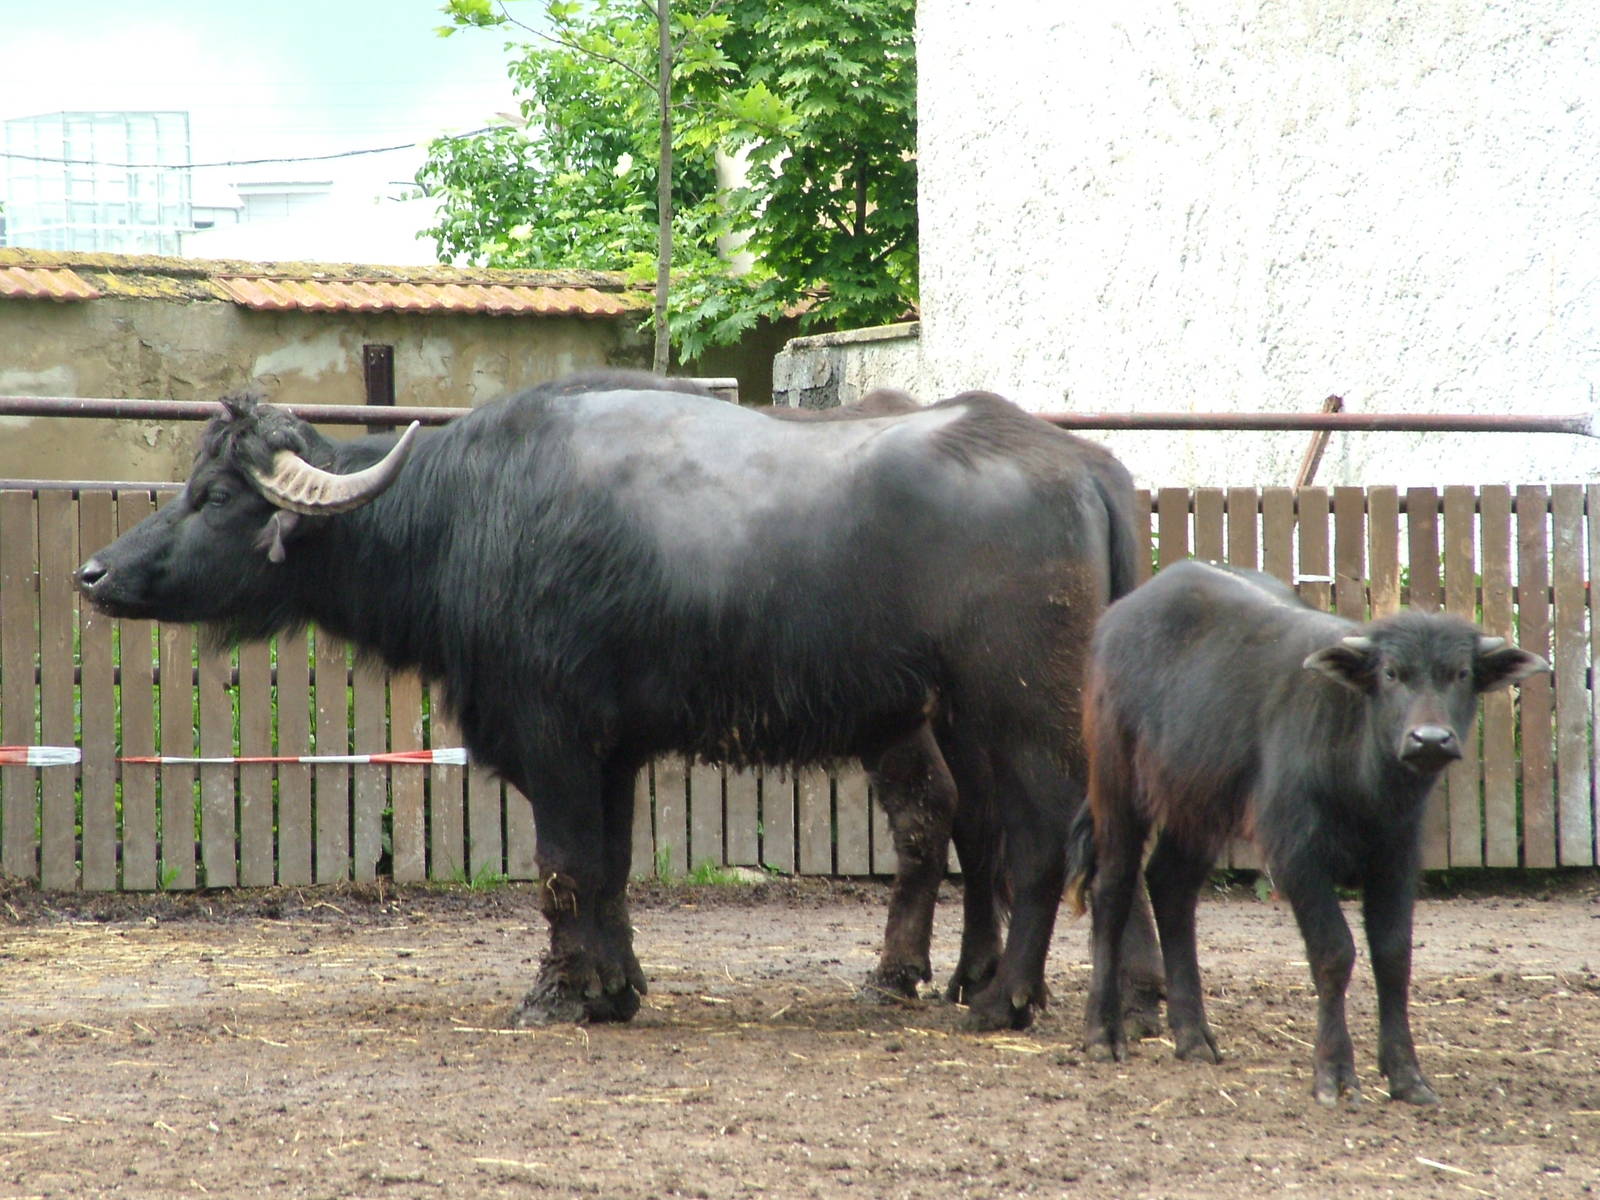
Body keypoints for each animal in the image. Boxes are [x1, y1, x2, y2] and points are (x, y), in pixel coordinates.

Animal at [79, 370, 1153, 1030]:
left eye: (218, 497)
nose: (95, 572)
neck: (470, 517)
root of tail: (1082, 465)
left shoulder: (554, 734)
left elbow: (563, 866)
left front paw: (558, 995)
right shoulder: (616, 750)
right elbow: (612, 869)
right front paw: (618, 987)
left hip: (1017, 712)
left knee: (1038, 840)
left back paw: (1006, 1000)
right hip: (981, 718)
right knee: (1044, 837)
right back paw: (1117, 1001)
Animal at [1066, 559, 1547, 1104]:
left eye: (1461, 674)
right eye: (1391, 673)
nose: (1430, 740)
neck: (1363, 780)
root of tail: (1118, 618)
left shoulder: (1396, 859)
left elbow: (1393, 955)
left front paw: (1406, 1074)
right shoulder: (1297, 855)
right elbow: (1334, 951)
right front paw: (1334, 1071)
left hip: (1198, 803)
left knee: (1171, 884)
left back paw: (1193, 1036)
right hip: (1116, 783)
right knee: (1113, 890)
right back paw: (1103, 1033)